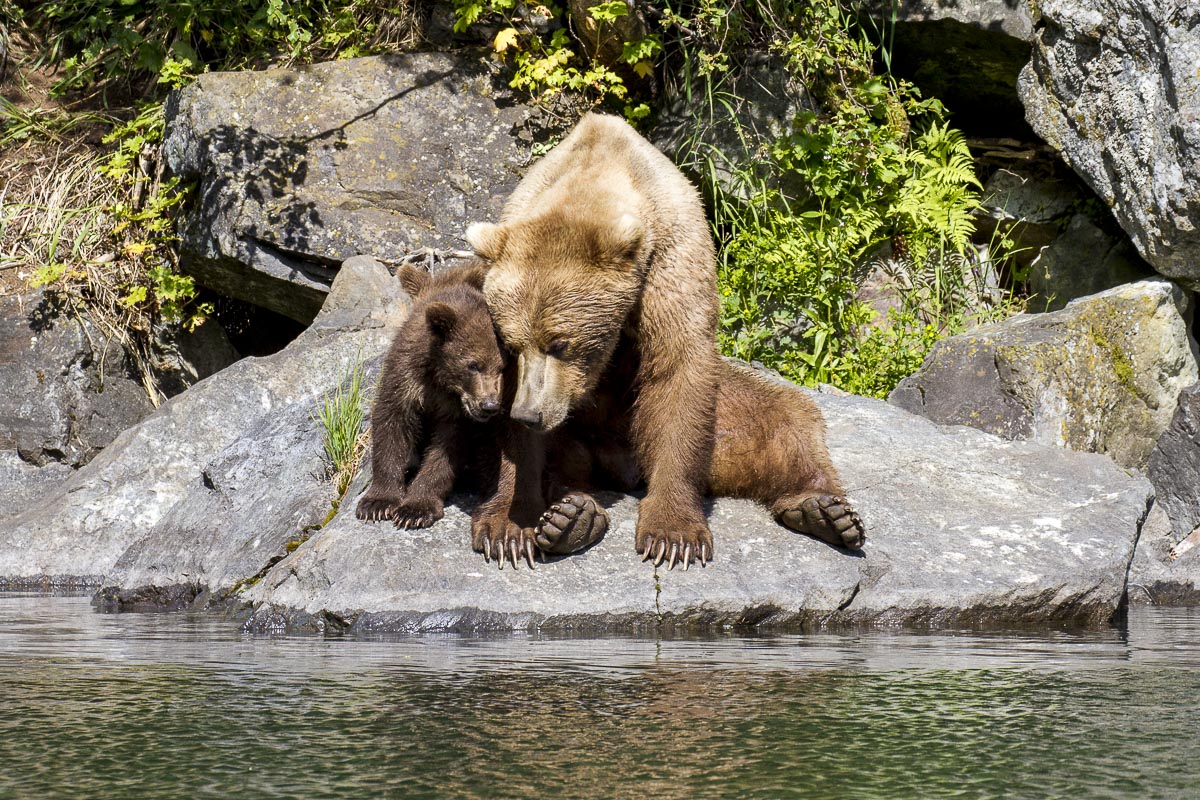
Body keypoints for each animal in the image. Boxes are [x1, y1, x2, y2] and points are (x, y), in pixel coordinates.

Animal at [464, 112, 863, 568]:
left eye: (560, 344)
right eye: (514, 346)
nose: (531, 414)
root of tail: (621, 467)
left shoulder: (673, 258)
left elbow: (678, 368)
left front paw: (672, 535)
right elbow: (509, 430)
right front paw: (509, 527)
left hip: (726, 417)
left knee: (785, 417)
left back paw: (822, 509)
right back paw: (573, 516)